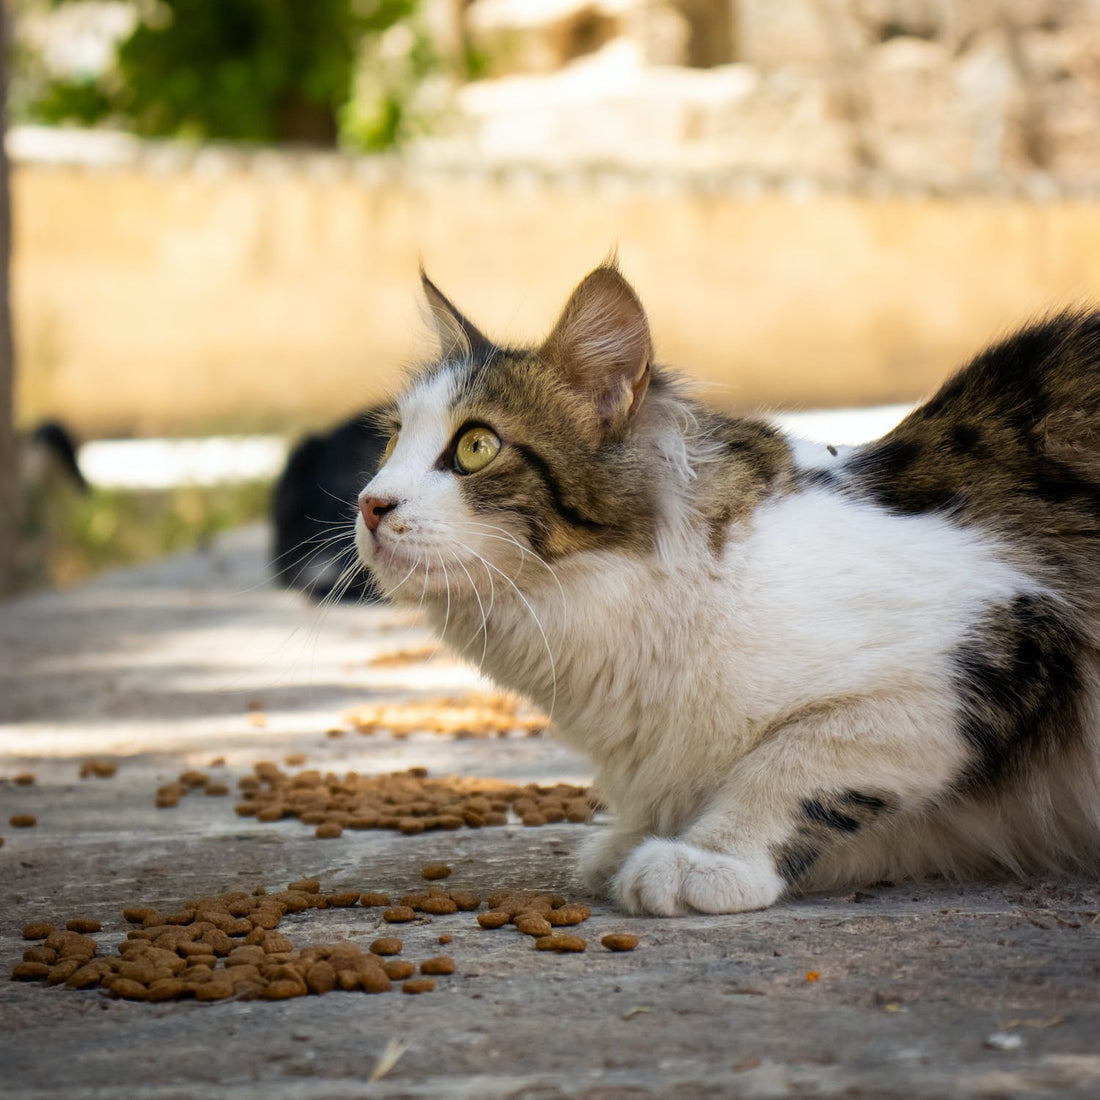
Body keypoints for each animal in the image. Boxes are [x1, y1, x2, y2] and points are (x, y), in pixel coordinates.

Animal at [352, 261, 1100, 915]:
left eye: (476, 447)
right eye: (389, 444)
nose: (369, 503)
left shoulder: (978, 644)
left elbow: (793, 761)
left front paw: (708, 857)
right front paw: (636, 838)